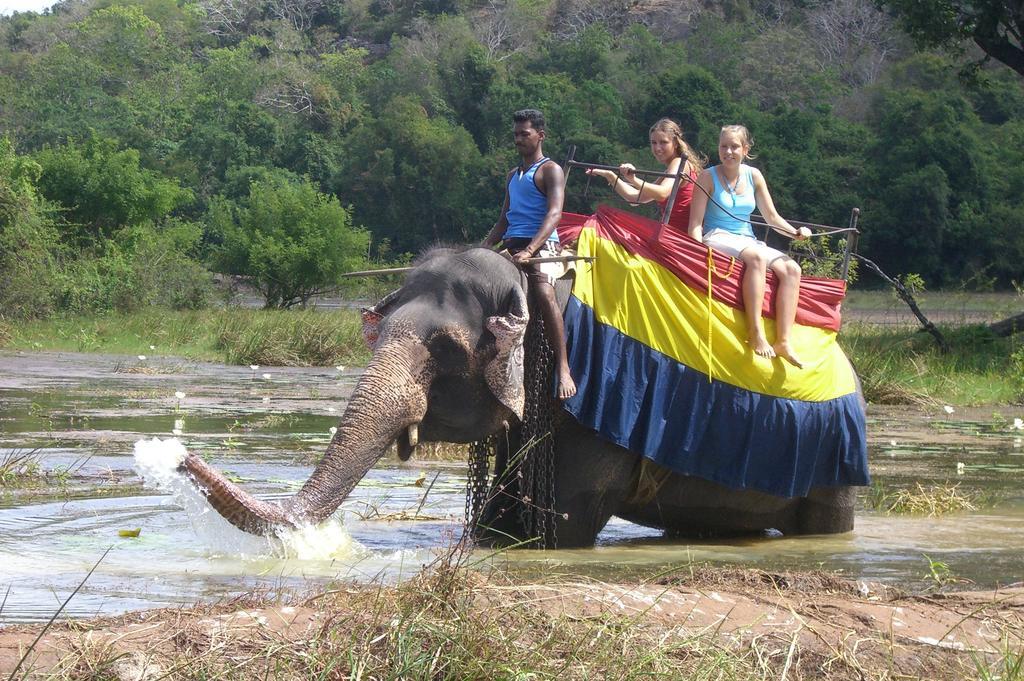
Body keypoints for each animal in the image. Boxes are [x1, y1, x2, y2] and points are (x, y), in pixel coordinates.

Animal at [182, 244, 864, 548]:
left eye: (446, 350)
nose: (181, 456)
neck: (531, 280)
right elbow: (506, 504)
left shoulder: (591, 409)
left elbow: (566, 515)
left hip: (837, 463)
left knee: (827, 519)